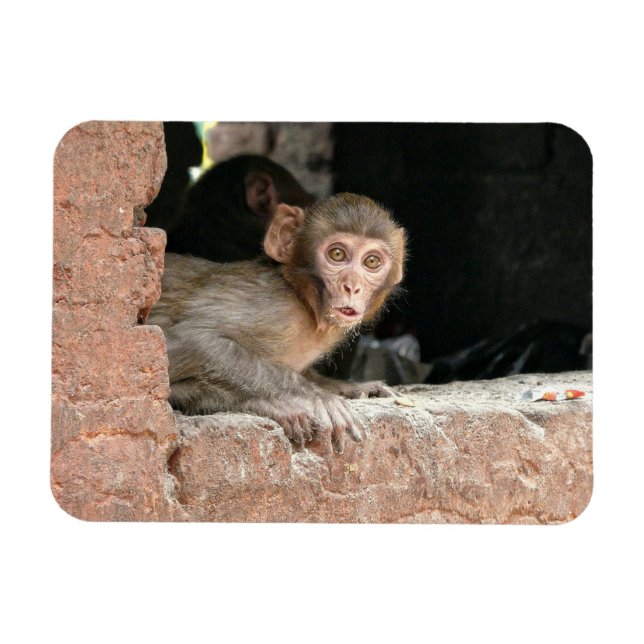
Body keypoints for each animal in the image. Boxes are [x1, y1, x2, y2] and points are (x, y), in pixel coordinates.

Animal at [148, 193, 407, 452]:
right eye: (337, 255)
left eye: (371, 261)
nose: (352, 287)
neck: (304, 302)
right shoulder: (274, 308)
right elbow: (183, 338)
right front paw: (315, 396)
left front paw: (349, 387)